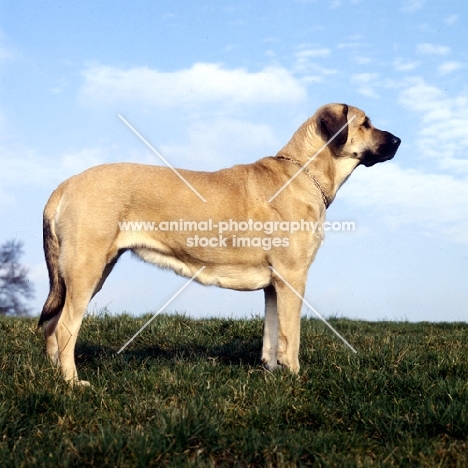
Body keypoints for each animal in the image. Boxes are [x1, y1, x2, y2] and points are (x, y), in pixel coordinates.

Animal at [38, 104, 400, 386]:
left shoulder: (274, 285)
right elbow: (290, 336)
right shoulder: (292, 277)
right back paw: (73, 383)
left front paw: (272, 373)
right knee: (66, 327)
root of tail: (64, 185)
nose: (398, 140)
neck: (302, 172)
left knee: (53, 328)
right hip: (86, 269)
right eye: (365, 123)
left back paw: (56, 376)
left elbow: (271, 335)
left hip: (91, 272)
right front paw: (294, 376)